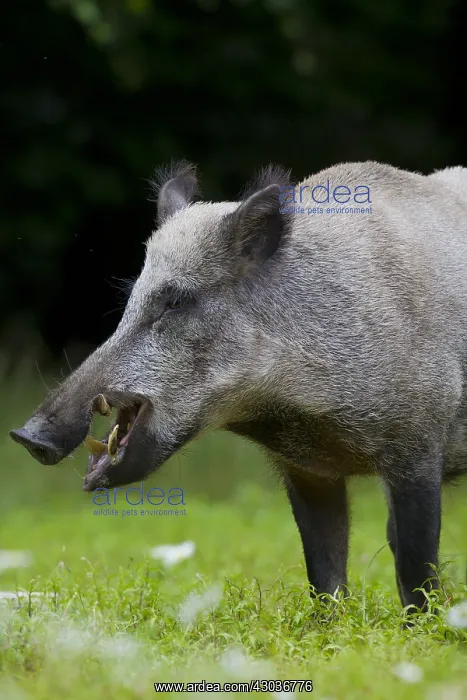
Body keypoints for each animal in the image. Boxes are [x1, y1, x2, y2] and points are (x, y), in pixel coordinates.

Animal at [10, 160, 467, 611]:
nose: (27, 436)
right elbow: (323, 572)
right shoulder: (306, 471)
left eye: (175, 301)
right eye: (130, 301)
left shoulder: (420, 442)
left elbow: (414, 564)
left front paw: (422, 624)